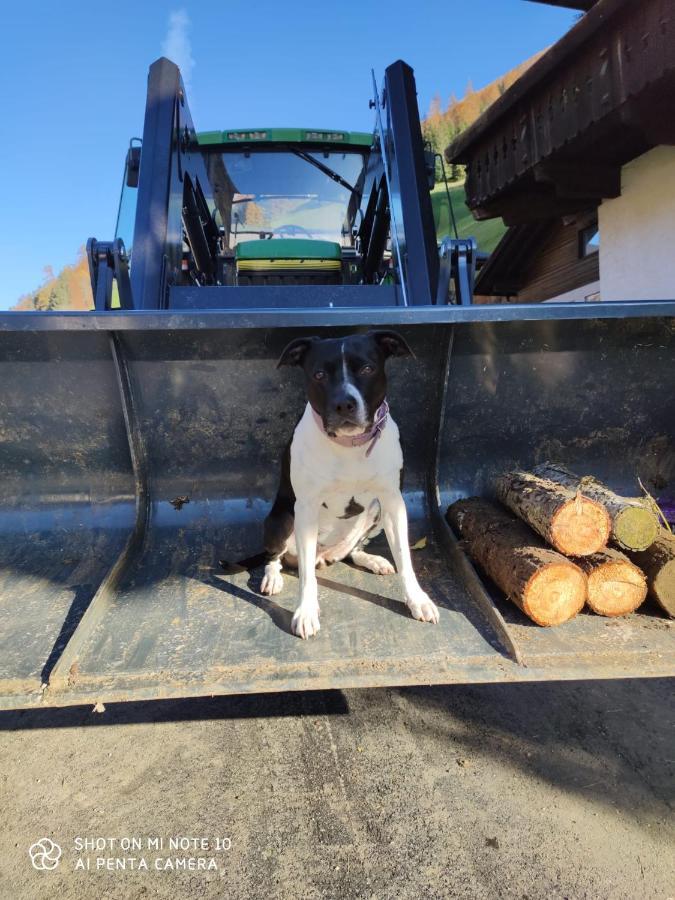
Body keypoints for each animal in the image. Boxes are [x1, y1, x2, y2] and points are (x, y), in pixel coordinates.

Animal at [258, 330, 438, 640]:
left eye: (367, 368)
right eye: (319, 374)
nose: (344, 404)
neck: (350, 444)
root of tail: (325, 556)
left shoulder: (393, 502)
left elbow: (404, 556)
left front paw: (417, 599)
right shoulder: (306, 508)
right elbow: (306, 577)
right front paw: (306, 611)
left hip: (376, 514)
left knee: (353, 550)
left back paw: (373, 560)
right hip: (282, 520)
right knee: (276, 557)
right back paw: (273, 577)